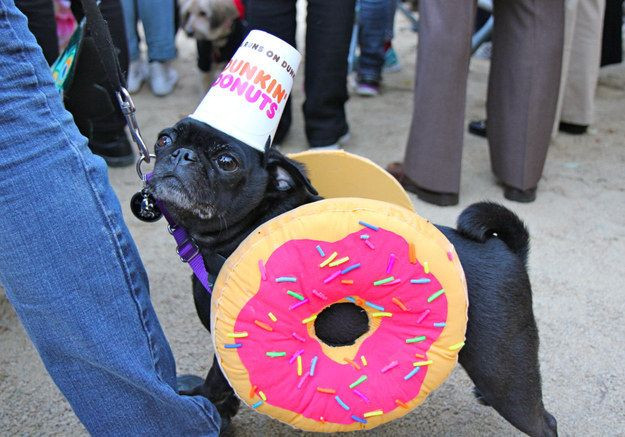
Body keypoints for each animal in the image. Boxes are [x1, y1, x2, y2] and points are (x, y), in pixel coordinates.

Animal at [149, 117, 560, 434]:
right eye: (164, 138)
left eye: (227, 161)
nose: (180, 154)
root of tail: (509, 251)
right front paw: (223, 414)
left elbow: (214, 381)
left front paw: (206, 403)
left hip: (502, 370)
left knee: (545, 422)